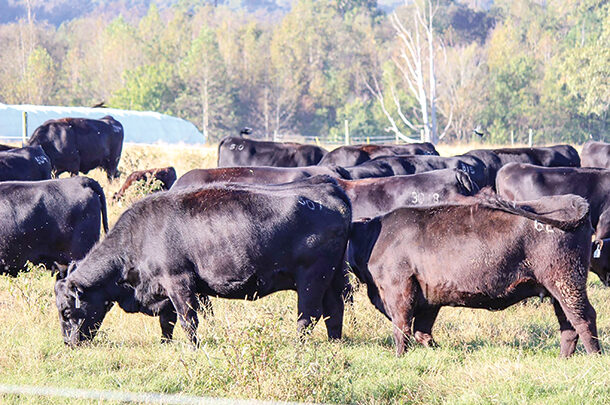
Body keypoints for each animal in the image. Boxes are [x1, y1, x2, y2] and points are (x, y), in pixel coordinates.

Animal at [54, 175, 350, 346]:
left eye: (66, 311)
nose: (68, 343)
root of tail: (327, 186)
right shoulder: (165, 292)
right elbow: (167, 322)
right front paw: (165, 344)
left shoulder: (179, 283)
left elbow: (188, 320)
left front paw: (193, 347)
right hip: (334, 277)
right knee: (334, 310)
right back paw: (335, 343)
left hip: (312, 279)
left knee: (308, 315)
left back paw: (298, 345)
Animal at [346, 194, 600, 356]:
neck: (375, 236)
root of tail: (571, 200)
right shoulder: (429, 297)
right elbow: (421, 332)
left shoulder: (398, 290)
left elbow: (402, 328)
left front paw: (399, 358)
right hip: (557, 288)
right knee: (568, 323)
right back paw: (564, 358)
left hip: (566, 282)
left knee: (584, 317)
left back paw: (594, 357)